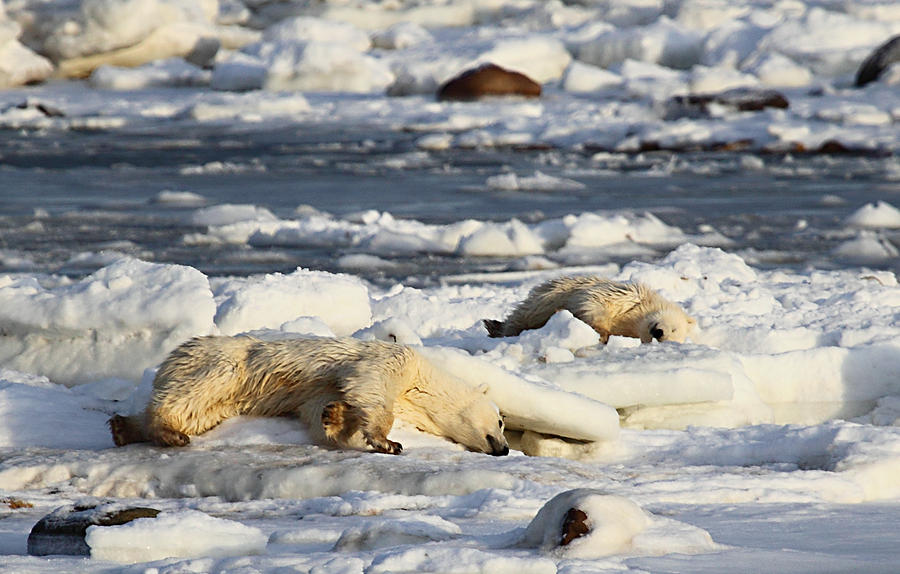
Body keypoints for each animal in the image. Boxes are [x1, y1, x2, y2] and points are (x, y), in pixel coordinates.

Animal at [107, 336, 506, 456]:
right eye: (501, 421)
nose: (503, 448)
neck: (420, 381)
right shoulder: (392, 360)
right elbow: (371, 386)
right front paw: (389, 442)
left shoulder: (320, 389)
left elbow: (322, 408)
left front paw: (334, 416)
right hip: (221, 362)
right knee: (191, 394)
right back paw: (168, 433)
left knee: (198, 411)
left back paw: (125, 428)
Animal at [486, 276, 696, 344]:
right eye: (674, 328)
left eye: (673, 333)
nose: (659, 332)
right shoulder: (629, 297)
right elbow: (593, 303)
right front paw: (601, 331)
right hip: (546, 296)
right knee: (525, 314)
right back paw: (494, 326)